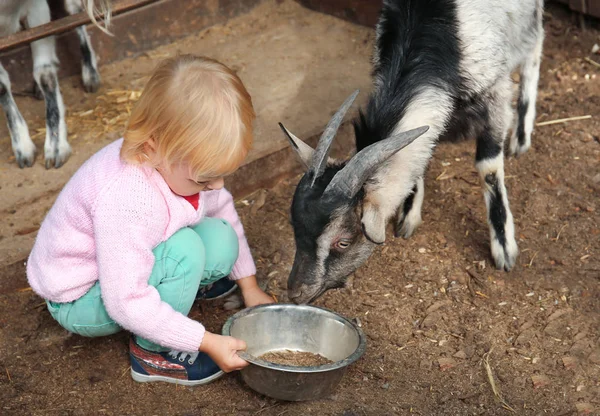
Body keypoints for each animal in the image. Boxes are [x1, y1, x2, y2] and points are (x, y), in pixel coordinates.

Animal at [0, 0, 110, 169]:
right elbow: (1, 86)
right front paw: (23, 147)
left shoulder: (37, 9)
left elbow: (45, 74)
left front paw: (56, 147)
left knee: (76, 12)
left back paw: (90, 72)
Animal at [280, 0, 544, 306]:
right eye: (294, 229)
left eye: (343, 241)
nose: (296, 292)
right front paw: (409, 213)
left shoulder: (495, 90)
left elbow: (487, 166)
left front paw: (503, 248)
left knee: (535, 46)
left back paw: (522, 133)